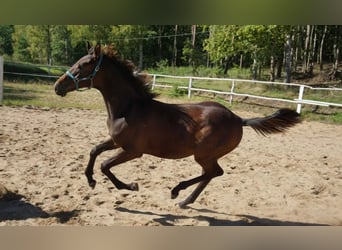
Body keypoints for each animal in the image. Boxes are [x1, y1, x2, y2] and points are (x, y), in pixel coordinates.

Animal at [52, 43, 300, 209]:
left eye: (83, 65)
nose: (57, 86)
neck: (128, 108)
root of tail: (239, 119)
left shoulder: (133, 151)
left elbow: (105, 165)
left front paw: (131, 186)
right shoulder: (115, 141)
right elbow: (94, 151)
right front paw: (91, 181)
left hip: (204, 154)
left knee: (214, 172)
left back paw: (177, 191)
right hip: (207, 155)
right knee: (211, 174)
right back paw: (184, 200)